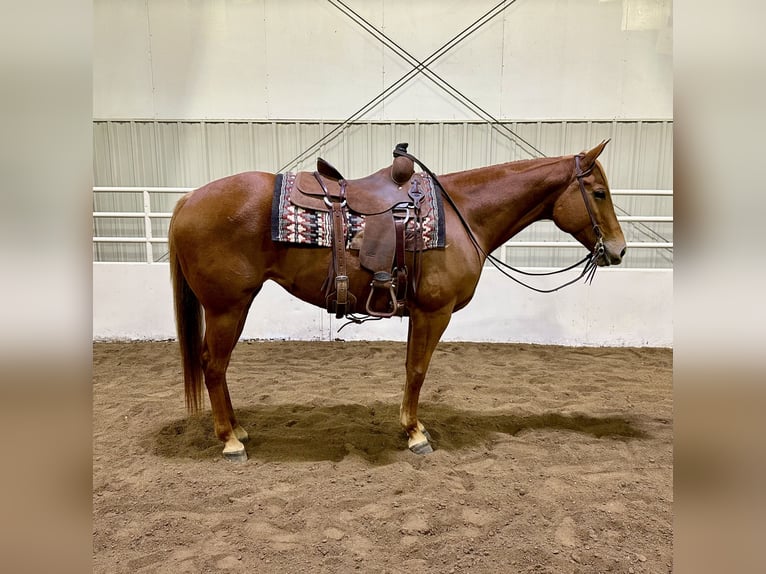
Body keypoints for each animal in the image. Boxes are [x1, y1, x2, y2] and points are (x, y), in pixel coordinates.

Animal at [168, 142, 624, 466]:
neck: (462, 216)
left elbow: (410, 368)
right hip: (227, 307)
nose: (618, 250)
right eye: (599, 193)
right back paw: (230, 441)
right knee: (213, 365)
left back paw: (238, 430)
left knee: (217, 366)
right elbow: (418, 370)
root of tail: (188, 200)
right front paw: (416, 433)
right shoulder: (433, 312)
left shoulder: (418, 313)